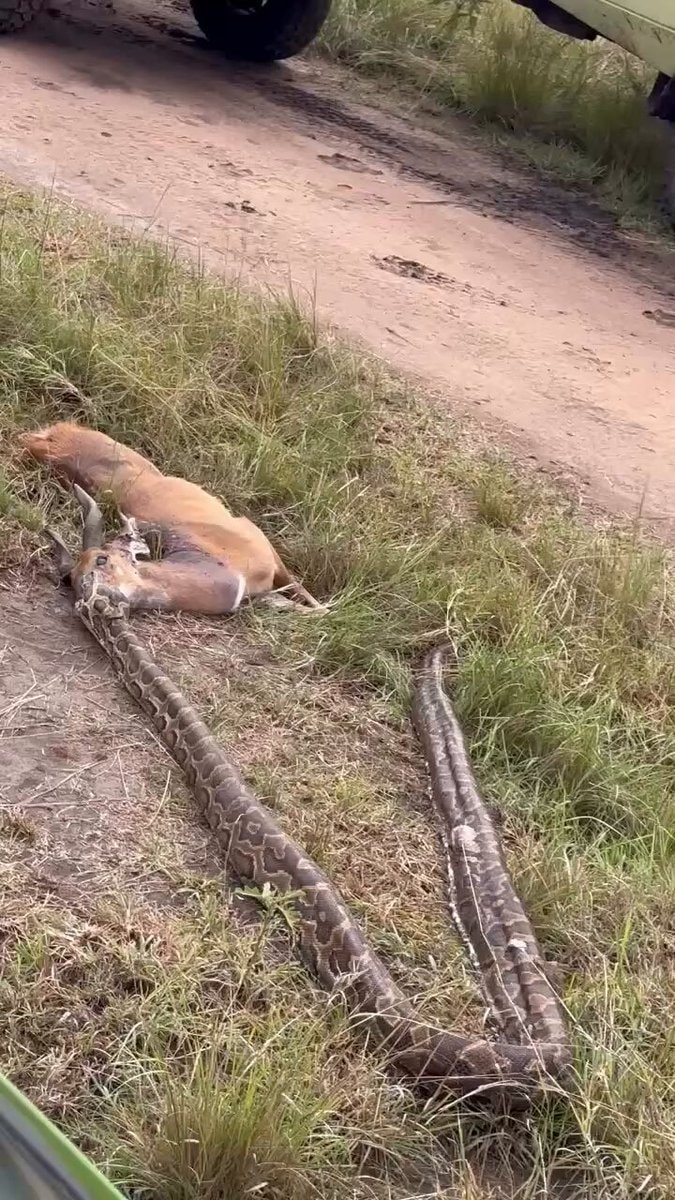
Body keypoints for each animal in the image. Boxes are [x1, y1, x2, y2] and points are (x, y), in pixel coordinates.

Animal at [20, 421, 326, 615]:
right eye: (72, 580)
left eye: (102, 559)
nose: (92, 599)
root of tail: (48, 441)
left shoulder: (256, 535)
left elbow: (302, 592)